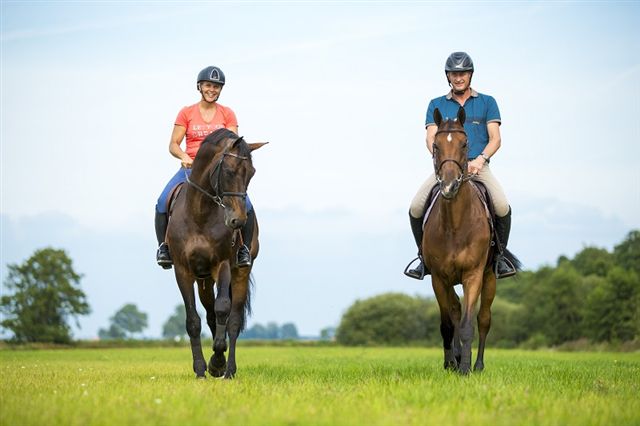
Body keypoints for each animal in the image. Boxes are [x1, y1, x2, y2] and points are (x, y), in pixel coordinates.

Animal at [166, 127, 266, 380]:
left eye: (251, 173)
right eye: (229, 171)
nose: (238, 221)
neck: (200, 212)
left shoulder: (223, 265)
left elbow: (223, 310)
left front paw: (217, 362)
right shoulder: (182, 270)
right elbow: (193, 320)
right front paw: (201, 369)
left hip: (239, 273)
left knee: (233, 320)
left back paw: (228, 370)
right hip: (203, 281)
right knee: (210, 315)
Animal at [424, 108, 520, 374]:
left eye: (464, 143)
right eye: (435, 145)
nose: (449, 185)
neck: (455, 225)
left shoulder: (473, 275)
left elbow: (469, 324)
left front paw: (465, 368)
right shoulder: (439, 278)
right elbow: (447, 324)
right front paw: (451, 363)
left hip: (489, 279)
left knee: (484, 319)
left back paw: (477, 365)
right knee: (455, 311)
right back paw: (456, 359)